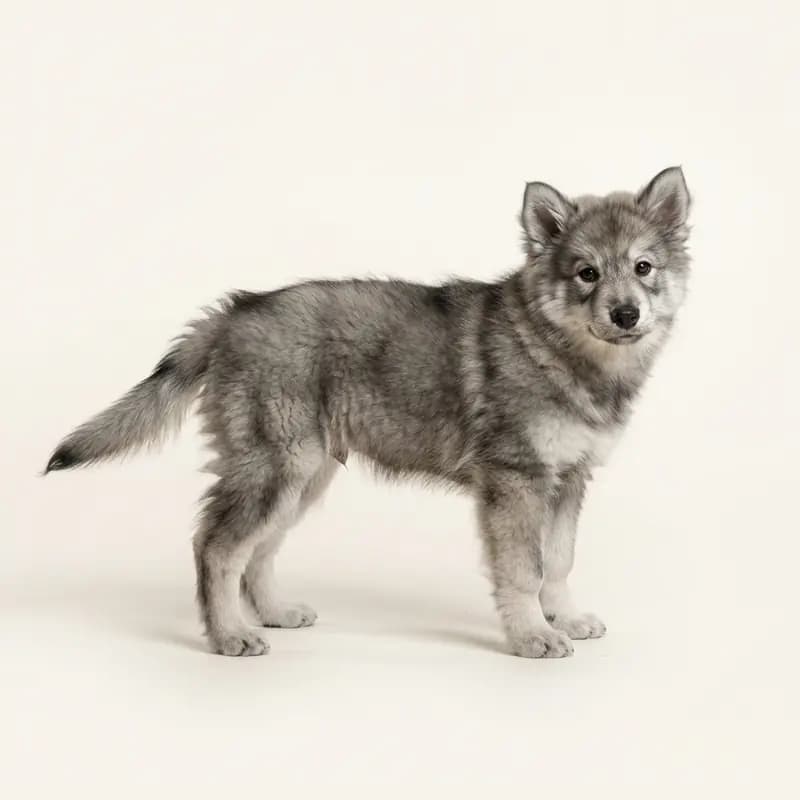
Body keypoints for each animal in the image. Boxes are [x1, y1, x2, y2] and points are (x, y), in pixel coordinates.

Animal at [45, 167, 691, 658]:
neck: (555, 348)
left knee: (259, 550)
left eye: (643, 268)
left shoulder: (568, 480)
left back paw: (272, 612)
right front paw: (532, 635)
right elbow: (523, 569)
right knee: (218, 548)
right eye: (586, 273)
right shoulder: (516, 482)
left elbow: (558, 560)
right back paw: (229, 634)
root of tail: (233, 313)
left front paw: (565, 618)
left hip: (303, 475)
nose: (626, 314)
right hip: (276, 467)